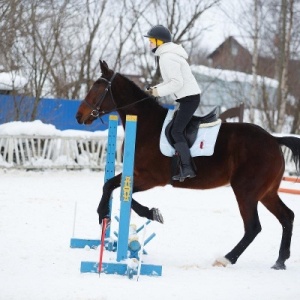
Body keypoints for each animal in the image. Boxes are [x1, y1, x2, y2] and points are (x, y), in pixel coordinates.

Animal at [75, 59, 300, 270]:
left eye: (97, 88)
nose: (79, 116)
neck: (146, 125)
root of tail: (274, 140)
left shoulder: (151, 178)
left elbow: (119, 191)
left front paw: (140, 213)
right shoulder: (138, 174)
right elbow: (112, 186)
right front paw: (113, 214)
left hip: (246, 192)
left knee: (253, 227)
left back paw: (226, 259)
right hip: (266, 193)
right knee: (287, 217)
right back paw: (280, 261)